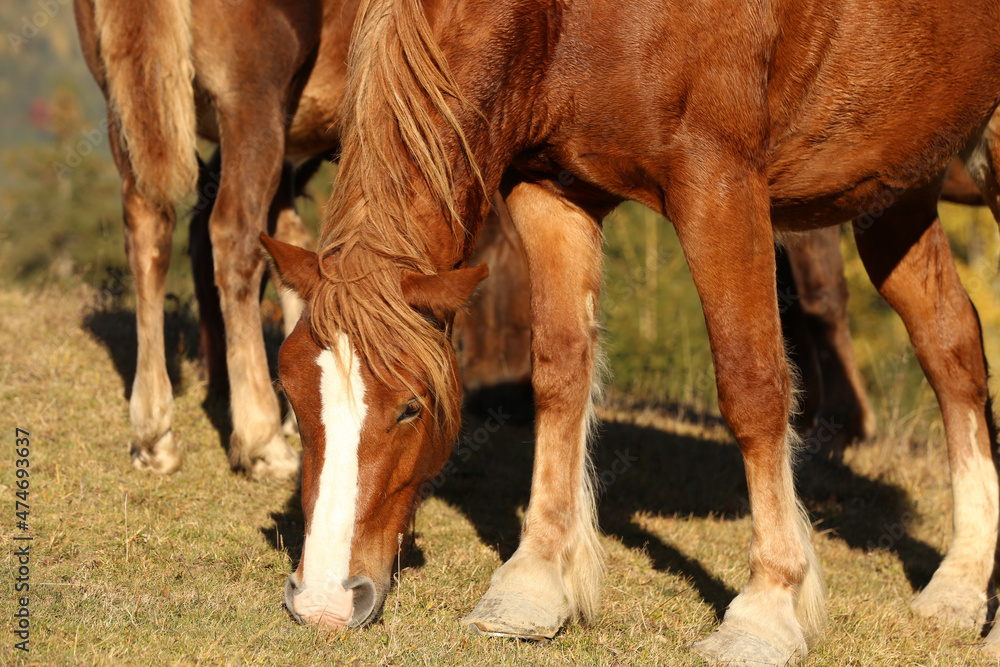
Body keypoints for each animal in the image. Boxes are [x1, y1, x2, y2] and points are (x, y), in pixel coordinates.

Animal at [263, 0, 1000, 663]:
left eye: (411, 408)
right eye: (293, 397)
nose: (325, 602)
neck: (566, 18)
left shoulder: (720, 185)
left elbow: (752, 386)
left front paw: (766, 611)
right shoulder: (553, 192)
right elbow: (560, 374)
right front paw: (532, 582)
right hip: (898, 187)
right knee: (951, 346)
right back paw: (959, 586)